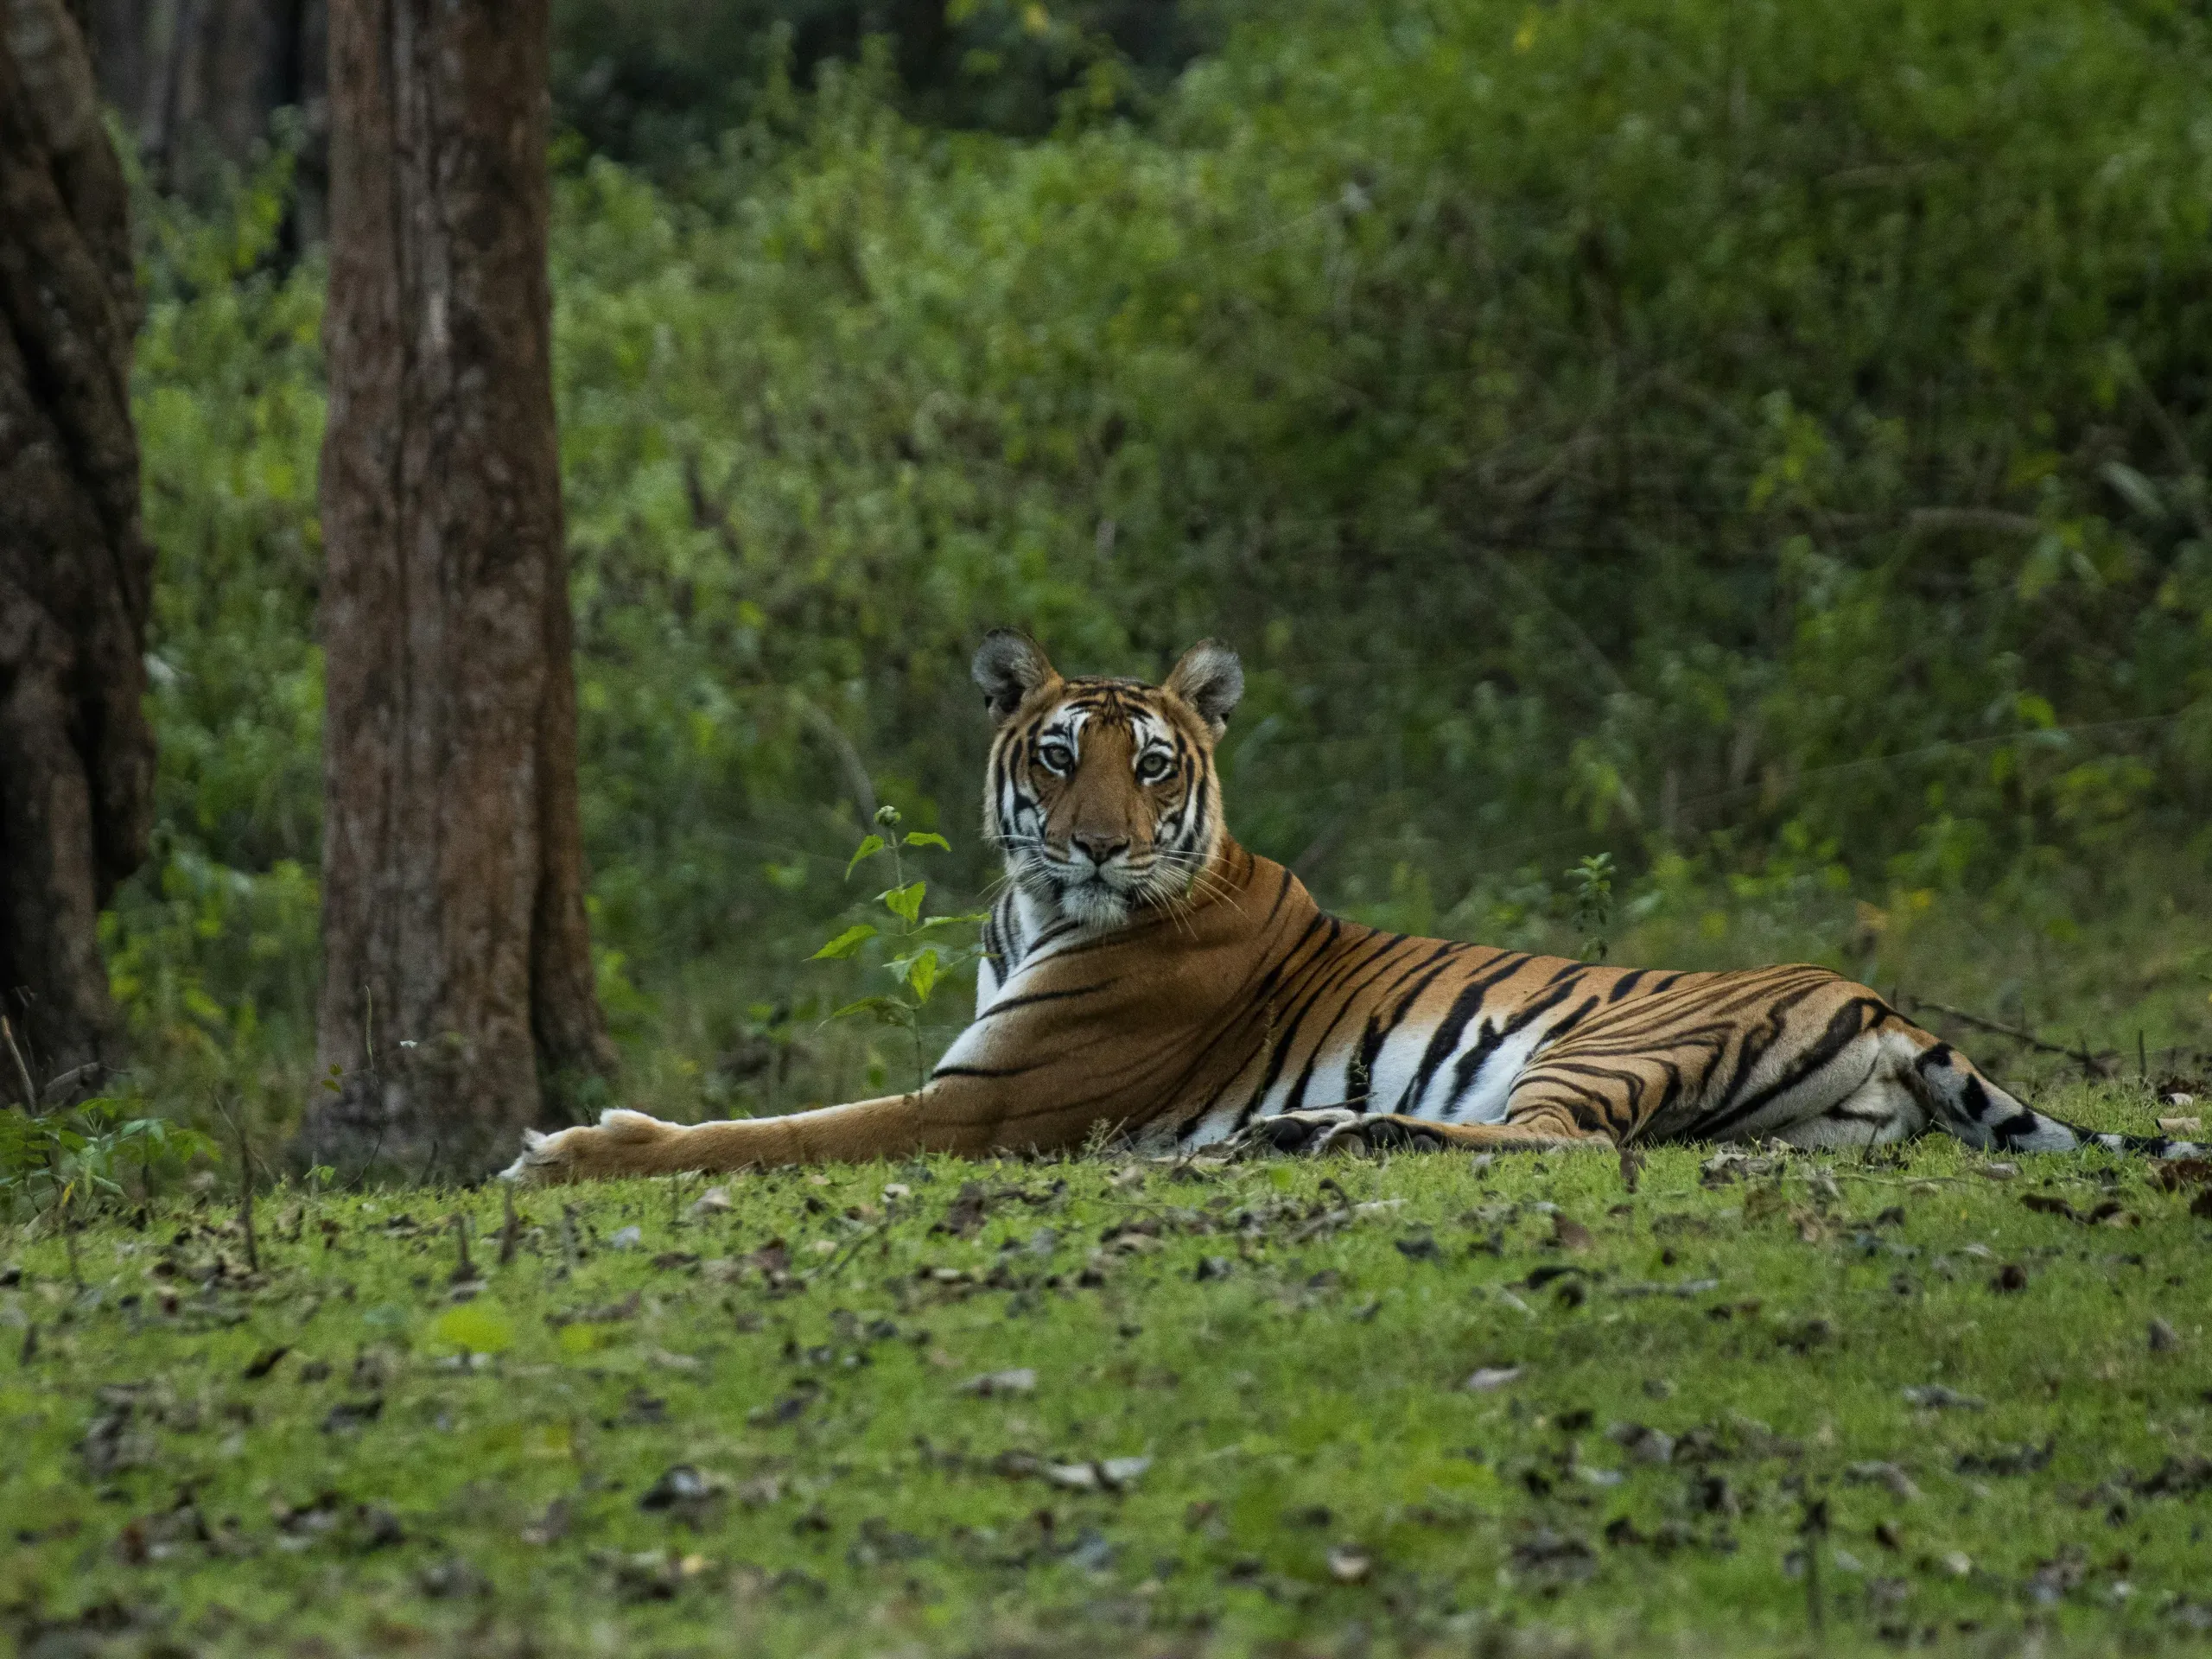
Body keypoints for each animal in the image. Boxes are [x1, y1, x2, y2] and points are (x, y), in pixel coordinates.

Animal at [502, 631, 2199, 1185]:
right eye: (1055, 758)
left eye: (1151, 765)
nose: (1100, 848)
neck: (1031, 910)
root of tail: (1880, 1001)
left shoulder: (977, 1108)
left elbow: (768, 1131)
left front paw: (571, 1150)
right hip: (1790, 1127)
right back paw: (1298, 1133)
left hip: (1587, 1046)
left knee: (1560, 1151)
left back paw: (1322, 1136)